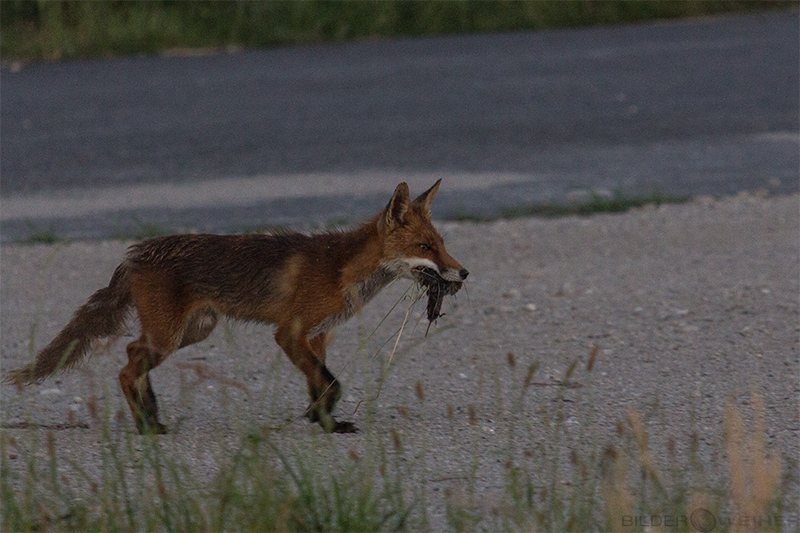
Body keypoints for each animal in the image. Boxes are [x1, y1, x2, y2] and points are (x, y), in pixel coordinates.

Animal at [3, 179, 468, 432]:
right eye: (425, 247)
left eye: (443, 243)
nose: (463, 273)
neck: (343, 269)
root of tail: (134, 252)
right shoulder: (290, 333)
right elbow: (332, 385)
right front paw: (323, 420)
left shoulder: (317, 337)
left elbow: (320, 385)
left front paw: (325, 423)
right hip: (171, 335)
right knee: (125, 368)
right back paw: (146, 427)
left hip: (191, 331)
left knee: (132, 356)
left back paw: (151, 416)